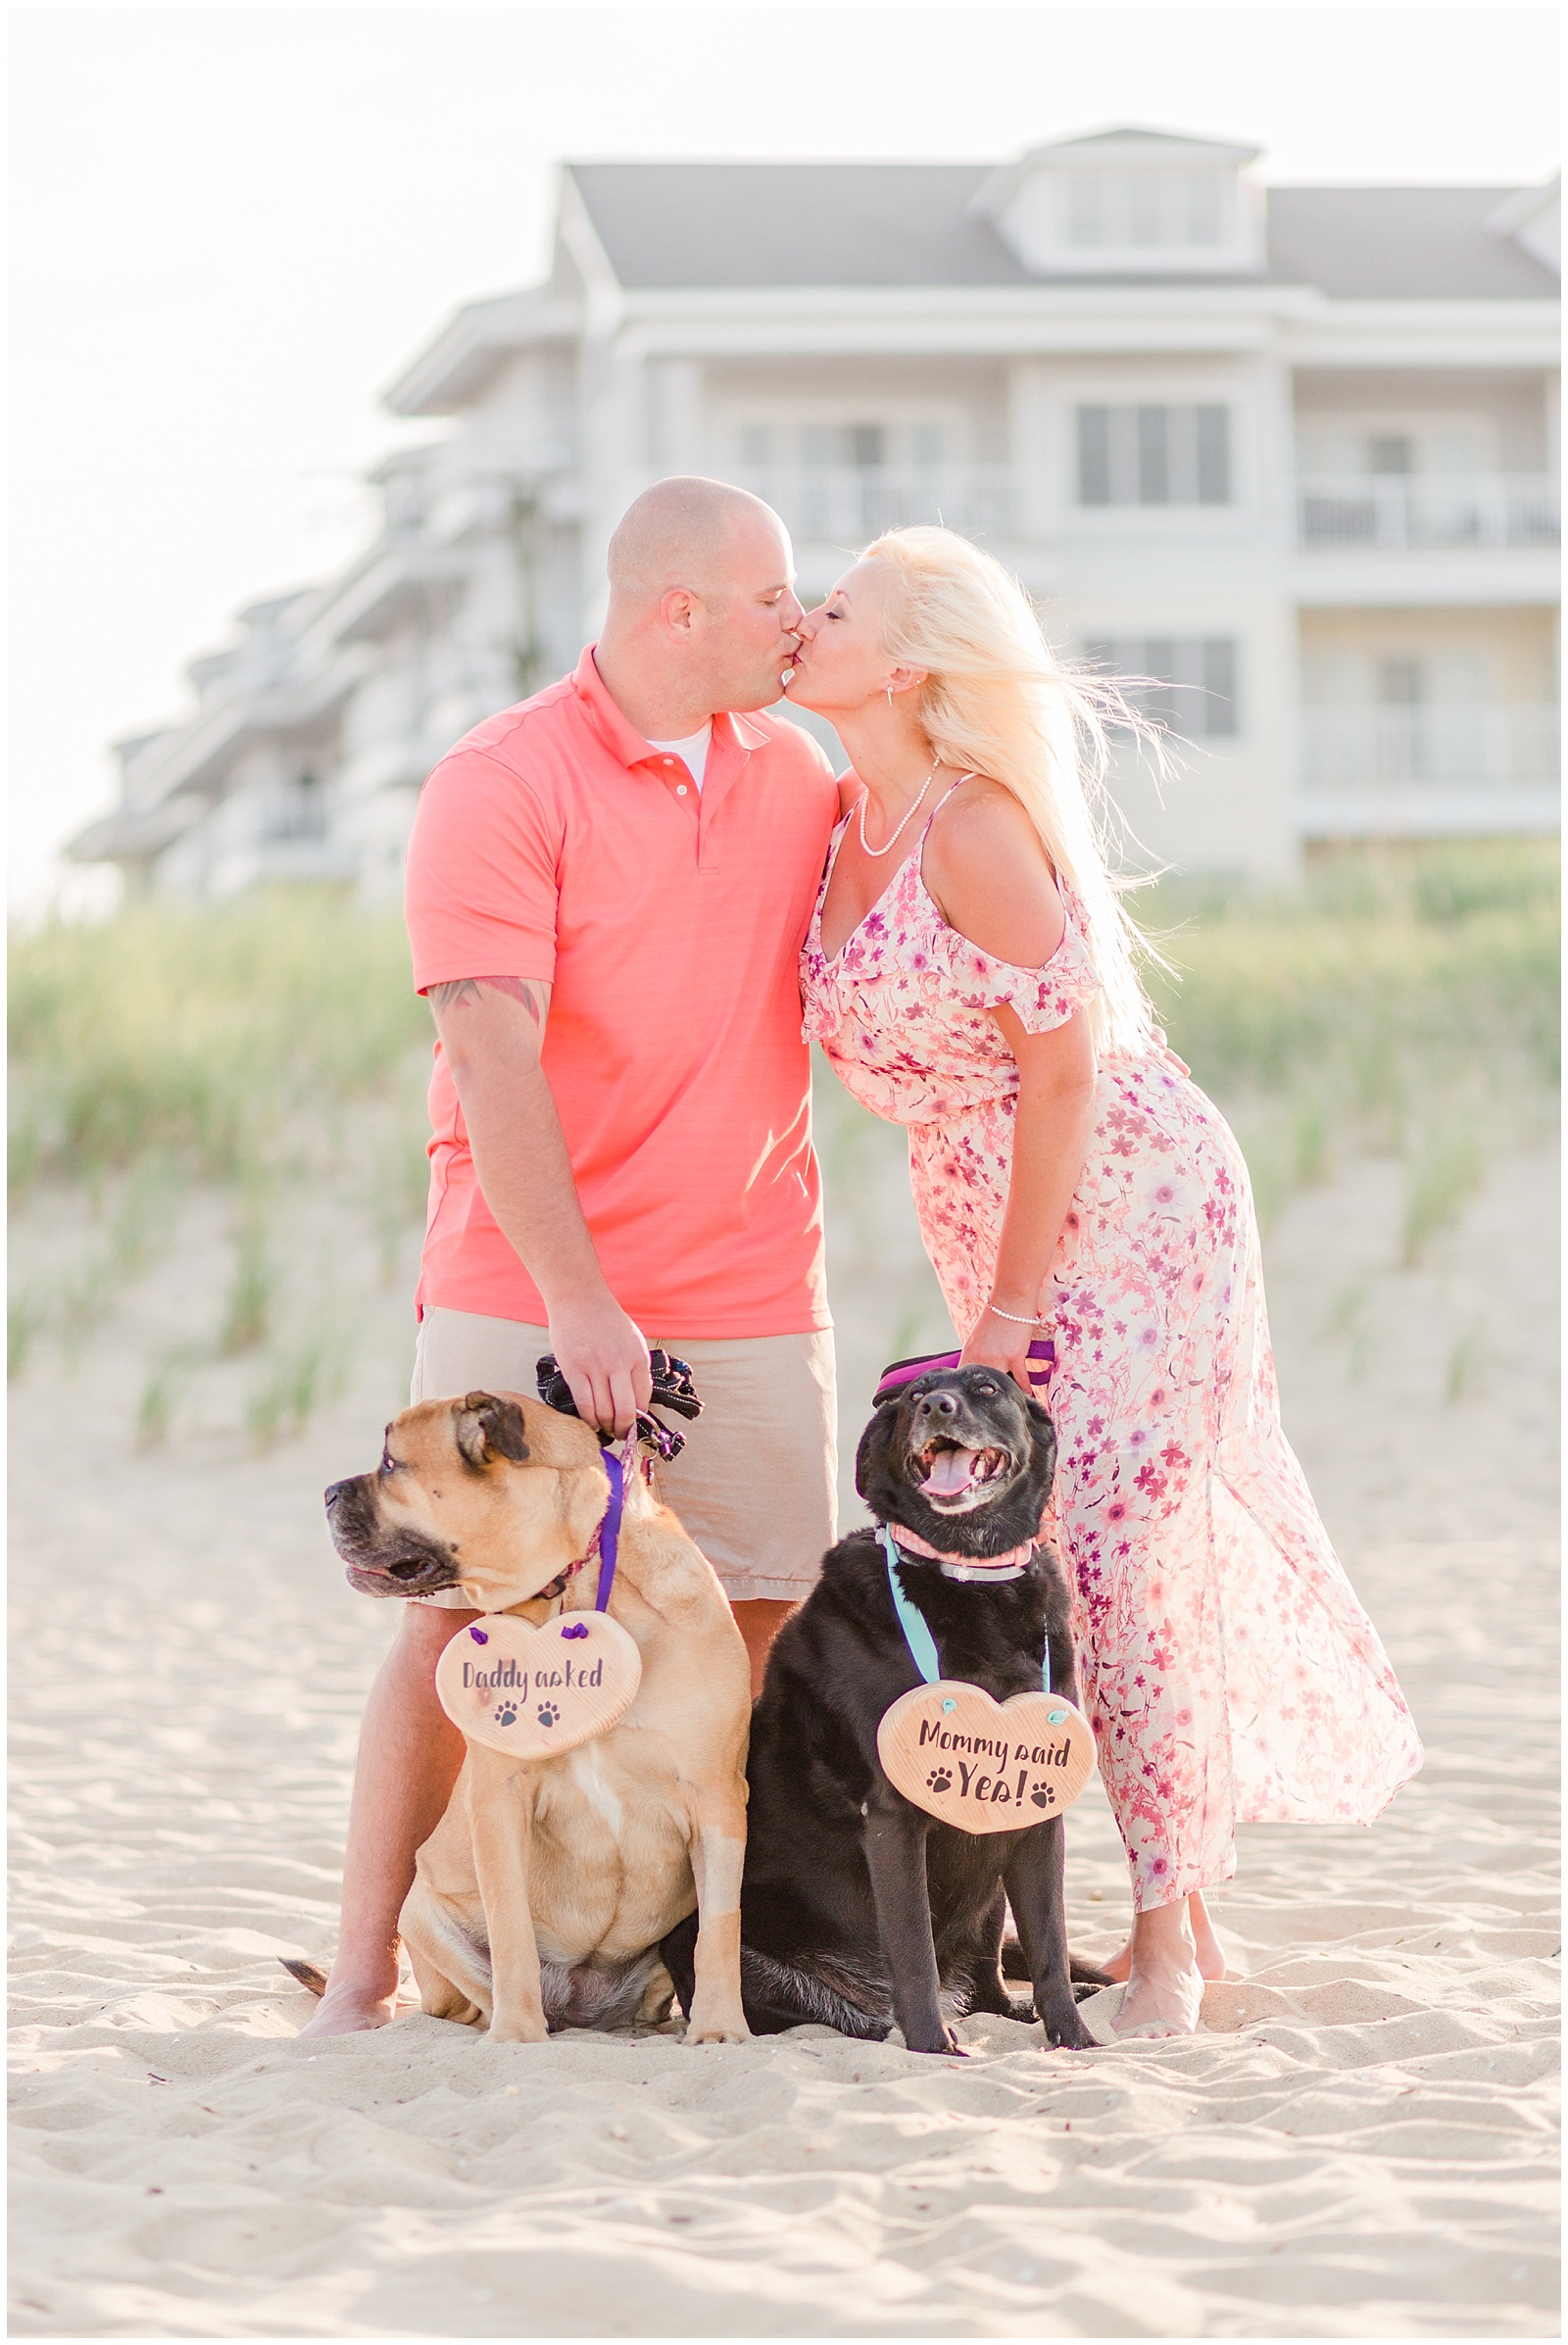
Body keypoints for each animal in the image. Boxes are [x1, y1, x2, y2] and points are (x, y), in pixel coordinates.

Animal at [323, 1388, 750, 2035]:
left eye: (392, 1463)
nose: (325, 1494)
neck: (574, 1583)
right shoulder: (500, 1798)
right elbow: (511, 1933)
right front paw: (517, 2036)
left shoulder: (716, 1796)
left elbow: (719, 1932)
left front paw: (721, 2027)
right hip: (420, 1911)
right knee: (467, 1994)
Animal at [661, 1359, 1102, 2054]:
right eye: (914, 1396)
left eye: (987, 1388)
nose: (938, 1407)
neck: (966, 1574)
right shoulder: (894, 1814)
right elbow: (913, 1948)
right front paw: (932, 2045)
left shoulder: (1037, 1809)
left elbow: (1050, 1945)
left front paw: (1074, 2038)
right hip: (713, 1934)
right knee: (854, 2009)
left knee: (985, 1974)